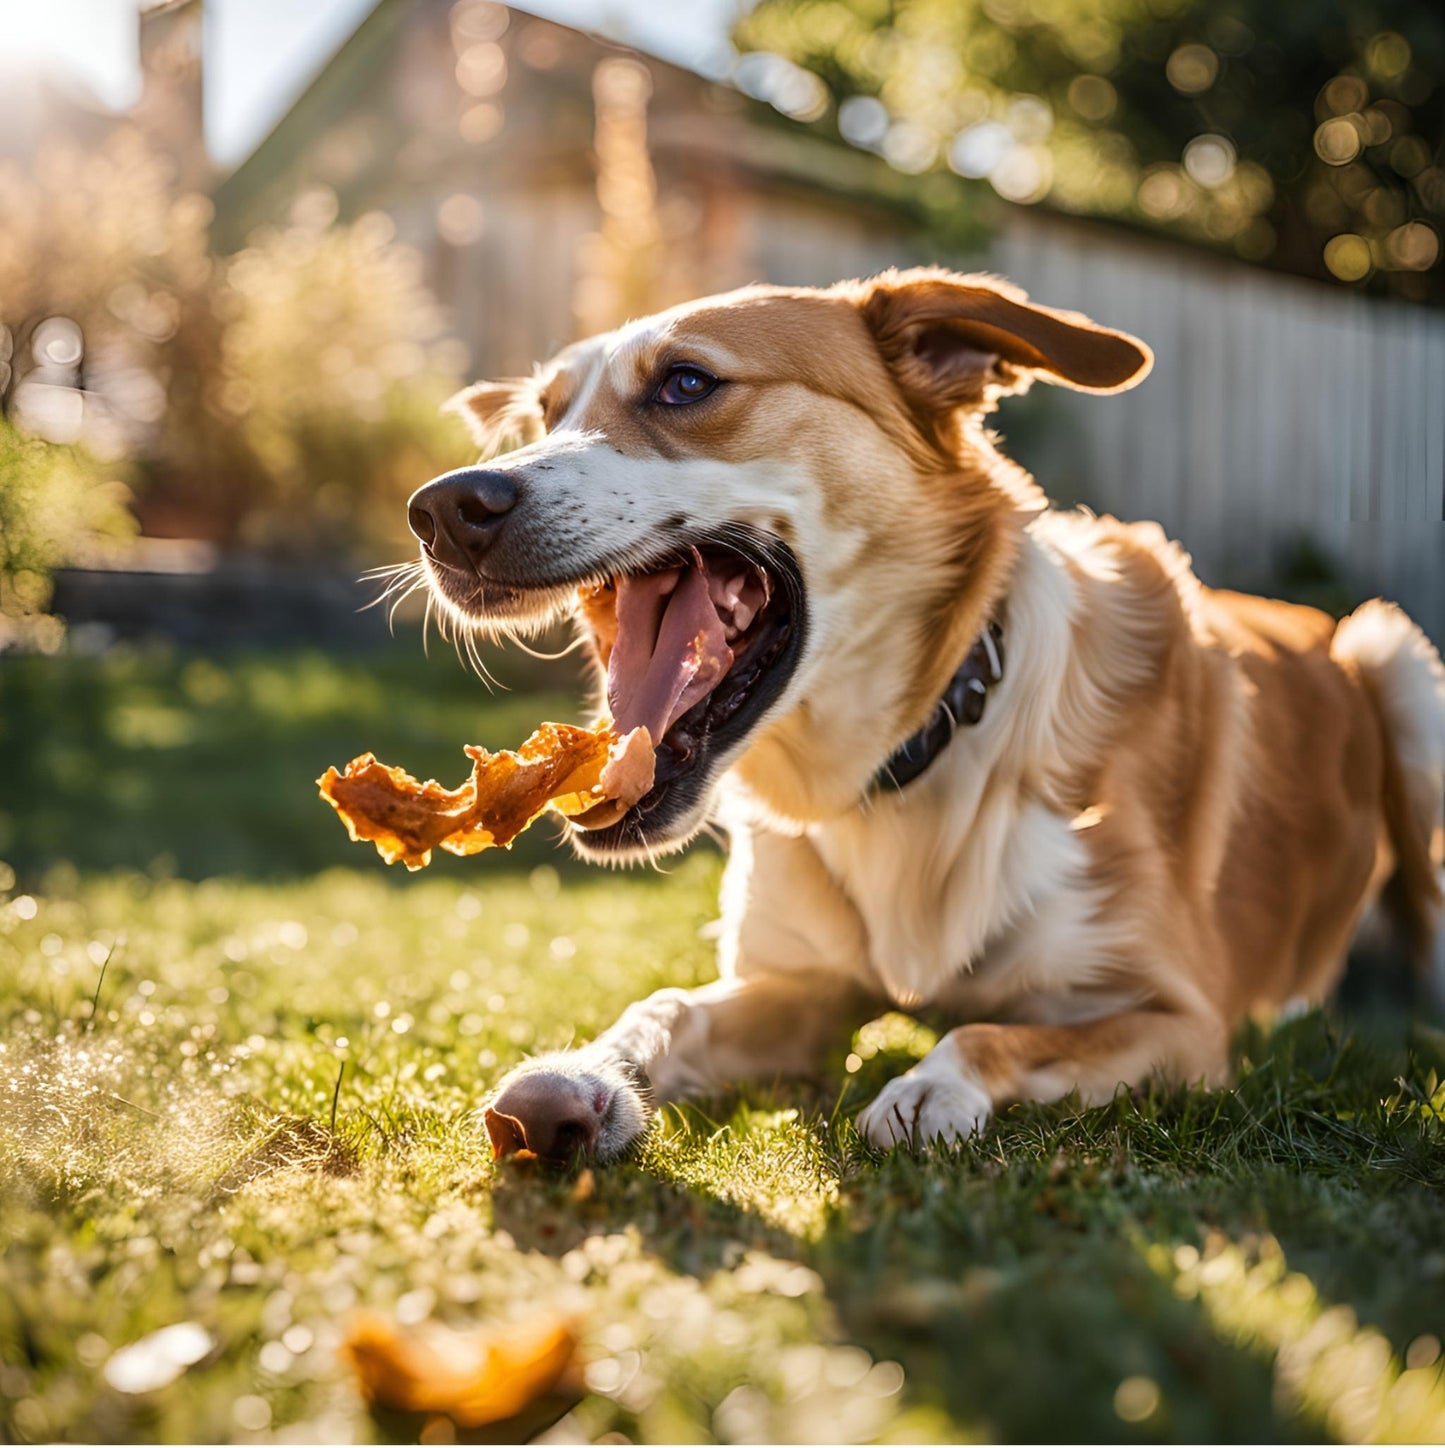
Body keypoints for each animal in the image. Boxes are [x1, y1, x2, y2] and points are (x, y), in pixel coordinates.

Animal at [402, 266, 1445, 1158]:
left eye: (686, 382)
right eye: (545, 413)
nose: (443, 511)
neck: (911, 754)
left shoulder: (1181, 1022)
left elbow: (992, 1031)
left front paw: (928, 1087)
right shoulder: (802, 988)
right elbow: (664, 1005)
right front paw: (585, 1078)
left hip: (1397, 667)